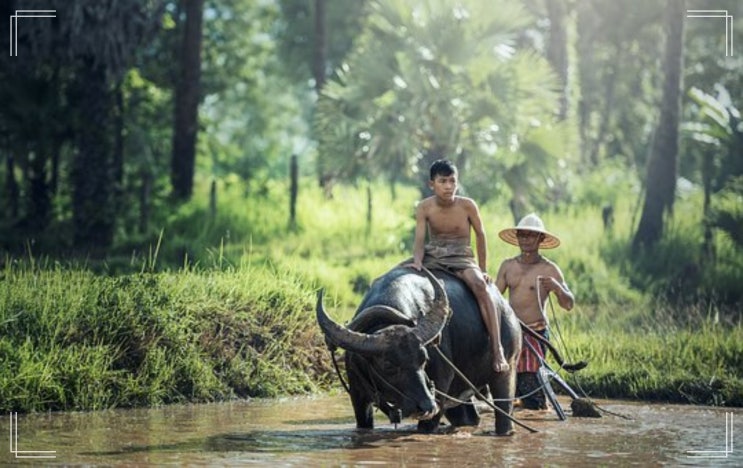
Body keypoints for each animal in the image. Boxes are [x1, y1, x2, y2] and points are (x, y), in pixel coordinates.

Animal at [316, 266, 520, 436]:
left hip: (507, 371)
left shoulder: (440, 391)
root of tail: (507, 308)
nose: (427, 406)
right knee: (468, 417)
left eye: (424, 359)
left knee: (504, 411)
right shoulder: (358, 397)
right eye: (388, 365)